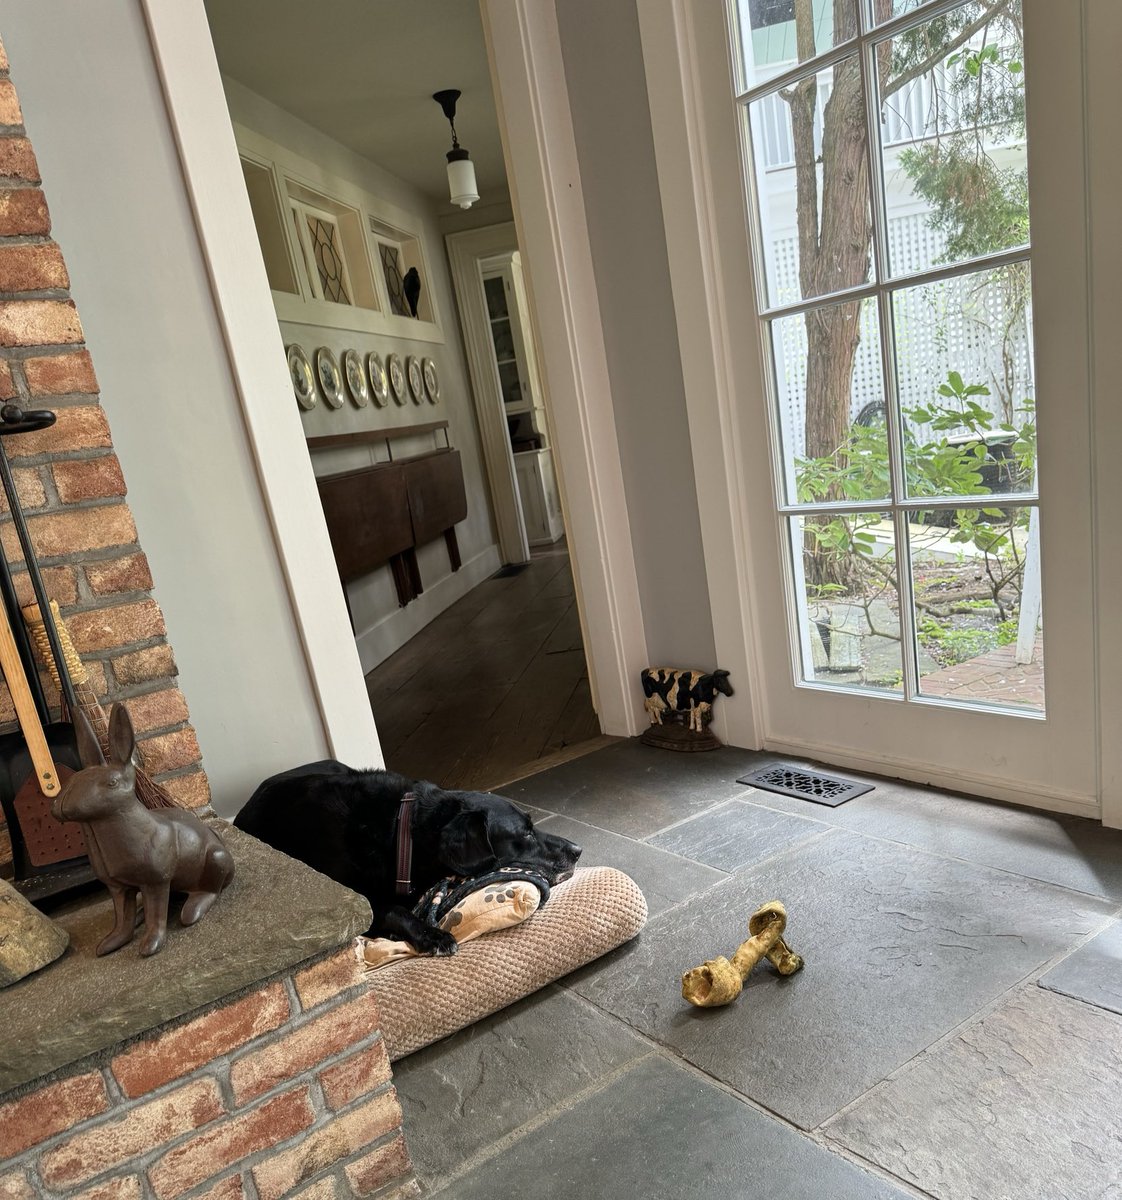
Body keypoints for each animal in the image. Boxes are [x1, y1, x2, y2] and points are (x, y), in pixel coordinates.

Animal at [234, 758, 583, 955]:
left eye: (532, 825)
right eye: (525, 834)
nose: (577, 850)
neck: (401, 835)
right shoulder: (354, 903)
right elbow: (393, 910)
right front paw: (432, 935)